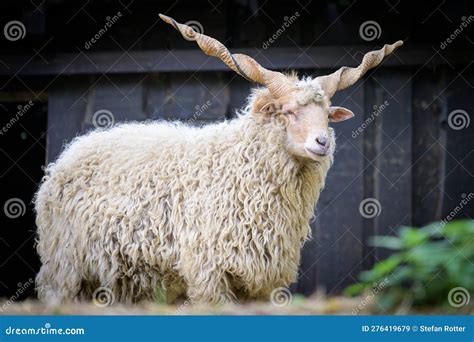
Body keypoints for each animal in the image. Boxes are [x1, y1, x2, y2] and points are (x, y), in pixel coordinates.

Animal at [34, 13, 404, 304]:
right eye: (286, 111)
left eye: (327, 114)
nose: (322, 142)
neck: (235, 162)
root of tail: (70, 152)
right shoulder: (208, 271)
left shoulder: (261, 280)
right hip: (65, 266)